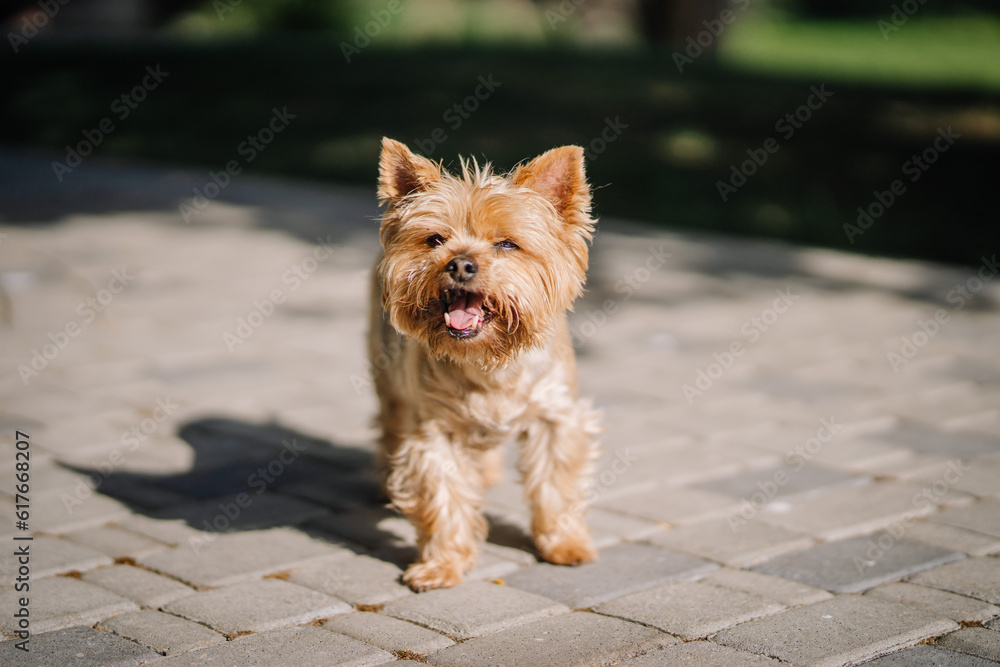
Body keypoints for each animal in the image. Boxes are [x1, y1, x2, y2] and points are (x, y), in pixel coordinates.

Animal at [372, 138, 596, 592]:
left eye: (507, 244)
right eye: (435, 239)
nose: (459, 263)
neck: (489, 361)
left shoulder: (557, 417)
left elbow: (557, 484)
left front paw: (565, 543)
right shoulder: (434, 432)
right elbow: (443, 497)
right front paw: (442, 565)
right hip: (388, 378)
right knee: (390, 421)